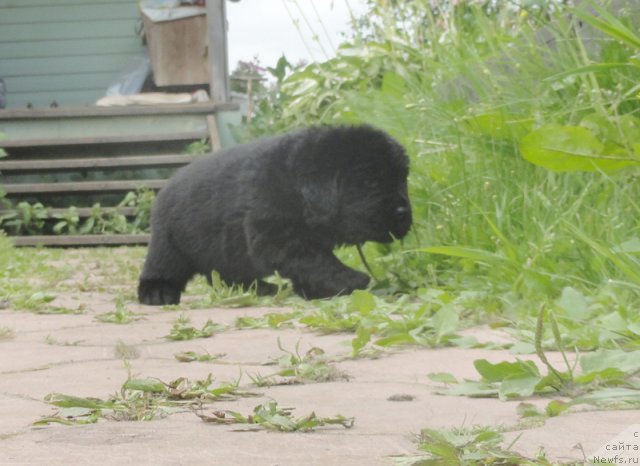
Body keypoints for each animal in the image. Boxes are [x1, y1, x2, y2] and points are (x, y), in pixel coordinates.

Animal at [138, 124, 412, 306]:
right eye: (369, 182)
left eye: (402, 180)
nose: (403, 213)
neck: (296, 185)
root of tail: (166, 186)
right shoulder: (276, 234)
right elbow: (316, 259)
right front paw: (351, 280)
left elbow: (314, 261)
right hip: (169, 245)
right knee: (162, 267)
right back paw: (157, 293)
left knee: (229, 275)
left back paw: (261, 288)